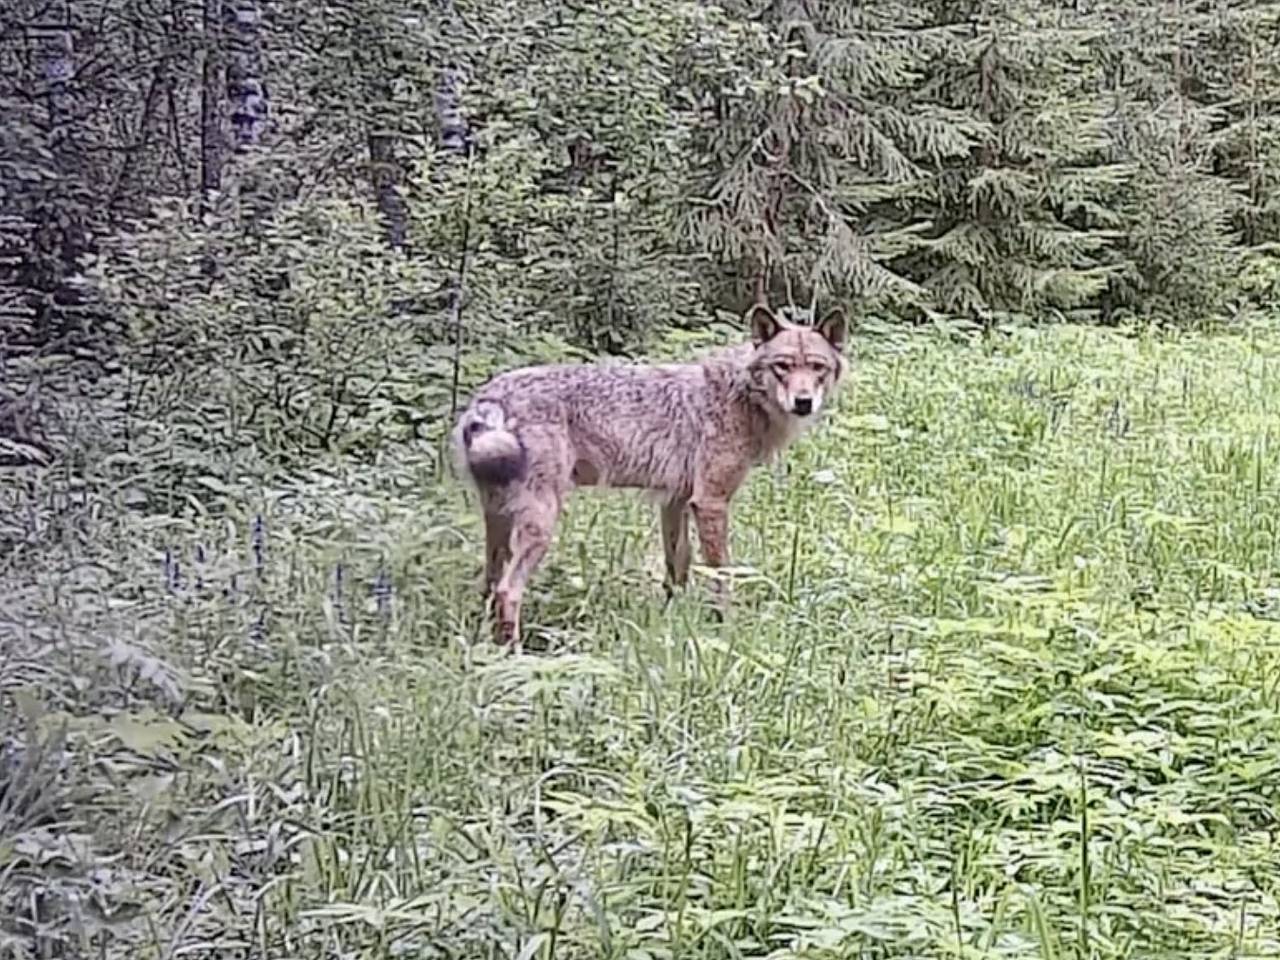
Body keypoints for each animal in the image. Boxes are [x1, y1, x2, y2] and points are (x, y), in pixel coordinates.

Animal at [451, 300, 848, 645]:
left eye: (817, 368)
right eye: (783, 366)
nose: (803, 402)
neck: (741, 397)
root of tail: (490, 396)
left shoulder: (674, 502)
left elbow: (677, 570)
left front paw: (672, 623)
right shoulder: (710, 503)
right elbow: (721, 577)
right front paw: (727, 630)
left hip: (499, 527)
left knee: (489, 584)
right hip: (542, 524)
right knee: (508, 591)